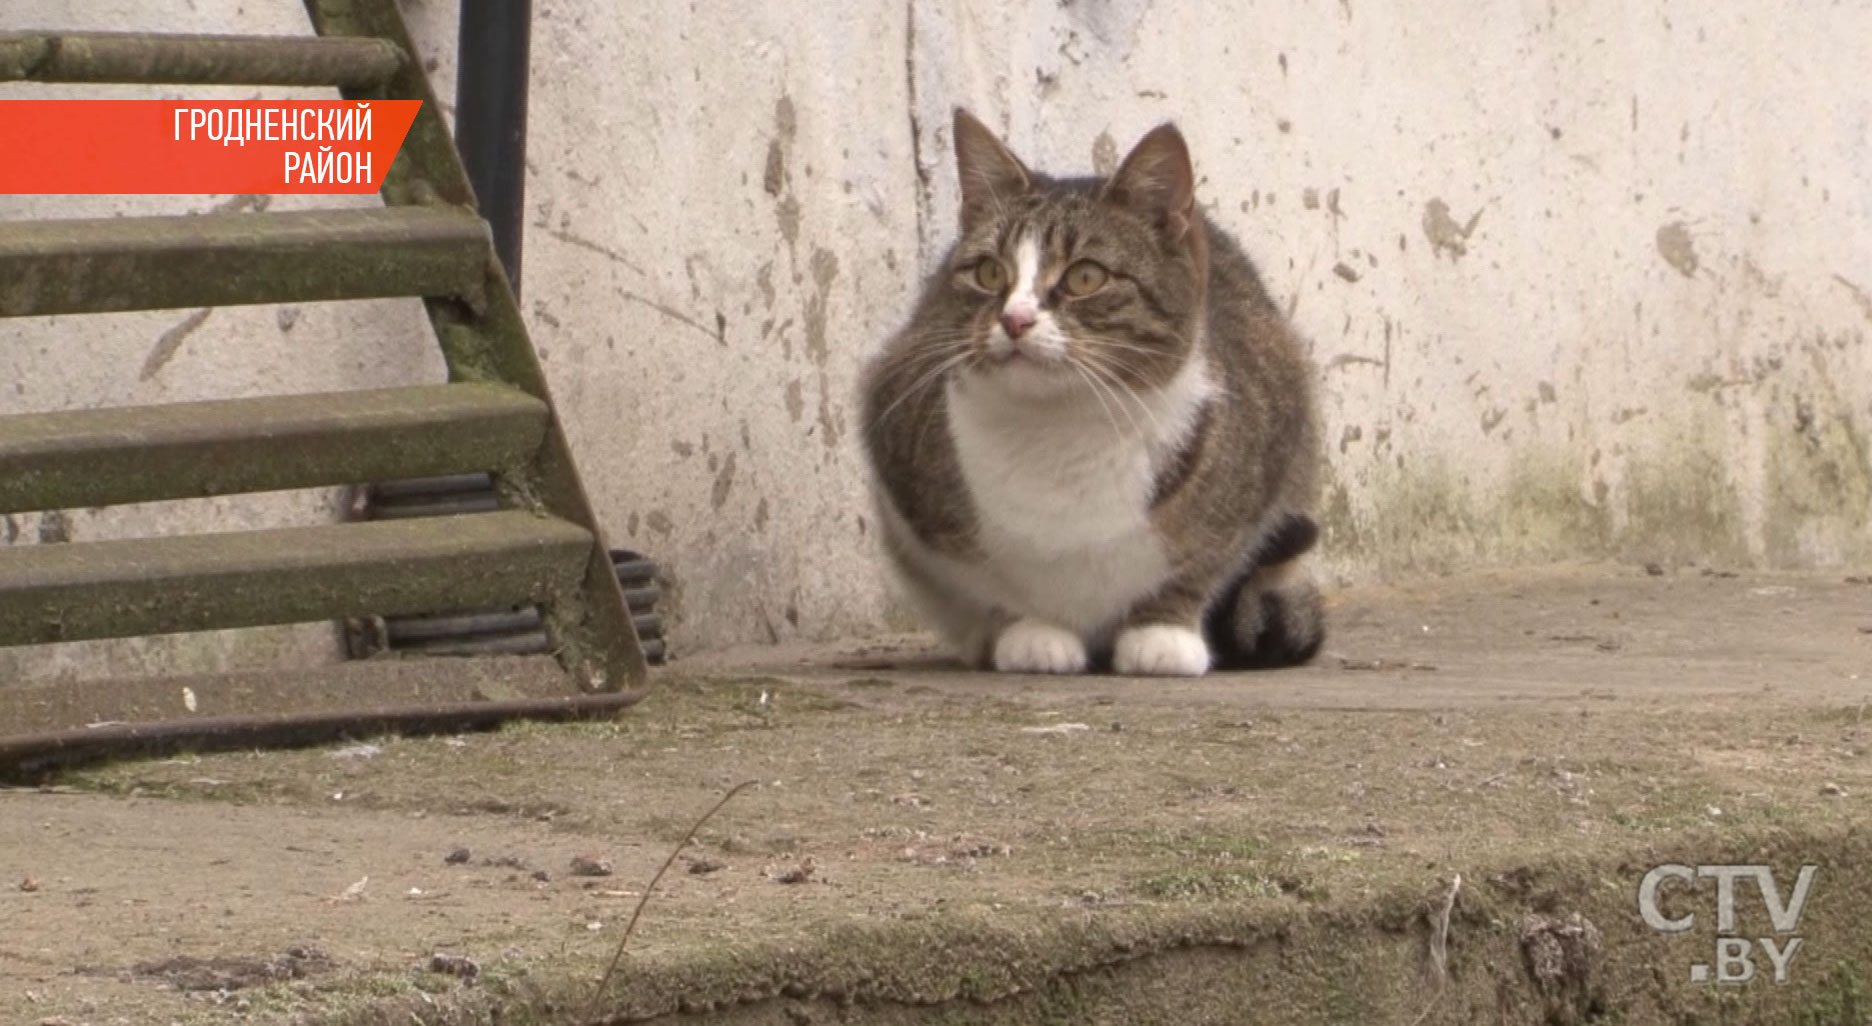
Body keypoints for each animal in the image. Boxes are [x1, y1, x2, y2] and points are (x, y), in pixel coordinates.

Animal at [857, 108, 1325, 677]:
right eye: (989, 272)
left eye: (1085, 277)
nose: (1015, 319)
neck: (1062, 430)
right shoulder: (904, 454)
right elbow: (992, 584)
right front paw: (1030, 632)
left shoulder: (1270, 443)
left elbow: (1199, 565)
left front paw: (1162, 633)